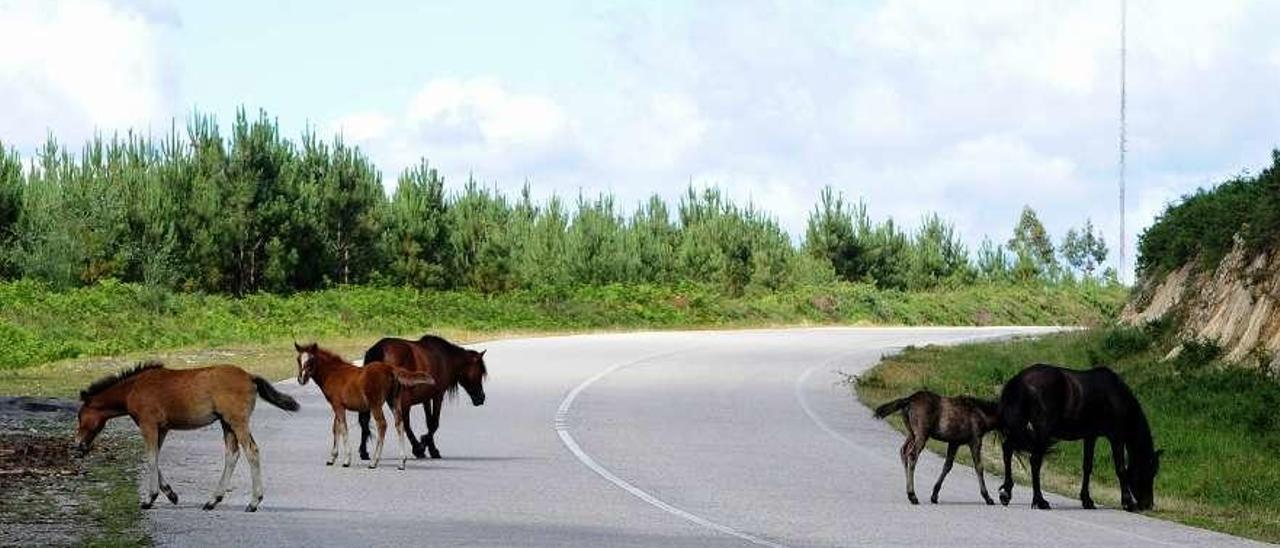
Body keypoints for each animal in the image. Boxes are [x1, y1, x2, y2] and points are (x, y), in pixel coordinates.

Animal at [73, 361, 298, 512]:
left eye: (80, 416)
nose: (78, 445)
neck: (133, 389)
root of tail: (250, 376)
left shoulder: (148, 425)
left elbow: (151, 457)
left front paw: (149, 499)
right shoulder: (162, 428)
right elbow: (155, 457)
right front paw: (171, 495)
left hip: (237, 421)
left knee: (251, 451)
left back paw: (253, 502)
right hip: (227, 423)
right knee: (232, 454)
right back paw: (213, 501)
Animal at [293, 340, 432, 468]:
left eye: (311, 360)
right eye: (298, 360)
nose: (301, 379)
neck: (333, 373)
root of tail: (391, 369)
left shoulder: (337, 405)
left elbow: (343, 428)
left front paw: (346, 460)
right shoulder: (337, 405)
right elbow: (335, 428)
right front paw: (332, 459)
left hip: (375, 404)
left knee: (382, 424)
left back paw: (374, 461)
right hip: (393, 400)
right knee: (399, 423)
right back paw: (402, 462)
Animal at [358, 335, 486, 460]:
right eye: (480, 372)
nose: (481, 398)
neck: (446, 359)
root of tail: (379, 350)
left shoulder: (426, 398)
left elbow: (429, 422)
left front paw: (430, 447)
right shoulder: (438, 395)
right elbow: (434, 424)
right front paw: (426, 445)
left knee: (365, 421)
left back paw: (364, 452)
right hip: (402, 400)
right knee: (404, 423)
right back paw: (417, 448)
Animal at [875, 389, 1003, 504]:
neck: (981, 414)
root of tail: (909, 400)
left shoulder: (954, 443)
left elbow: (947, 466)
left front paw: (934, 495)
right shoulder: (975, 441)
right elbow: (979, 467)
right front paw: (988, 497)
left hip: (912, 434)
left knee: (904, 451)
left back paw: (909, 493)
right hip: (921, 434)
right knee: (912, 455)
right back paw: (913, 496)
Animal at [993, 361, 1167, 512]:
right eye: (1149, 471)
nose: (1148, 504)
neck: (1116, 396)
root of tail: (1019, 380)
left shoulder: (1090, 436)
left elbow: (1087, 467)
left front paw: (1087, 500)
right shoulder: (1116, 438)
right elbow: (1120, 469)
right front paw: (1127, 502)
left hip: (1019, 427)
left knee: (1007, 449)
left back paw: (1006, 493)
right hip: (1041, 431)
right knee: (1035, 461)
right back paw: (1039, 501)